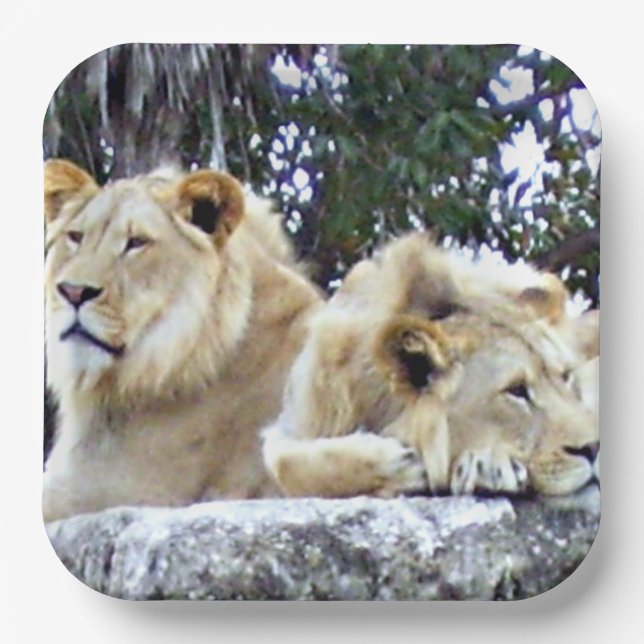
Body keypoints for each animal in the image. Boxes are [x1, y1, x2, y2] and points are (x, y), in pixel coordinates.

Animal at [262, 234, 599, 498]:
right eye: (516, 390)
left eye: (565, 377)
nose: (596, 448)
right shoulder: (287, 430)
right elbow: (284, 465)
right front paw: (399, 464)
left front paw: (488, 465)